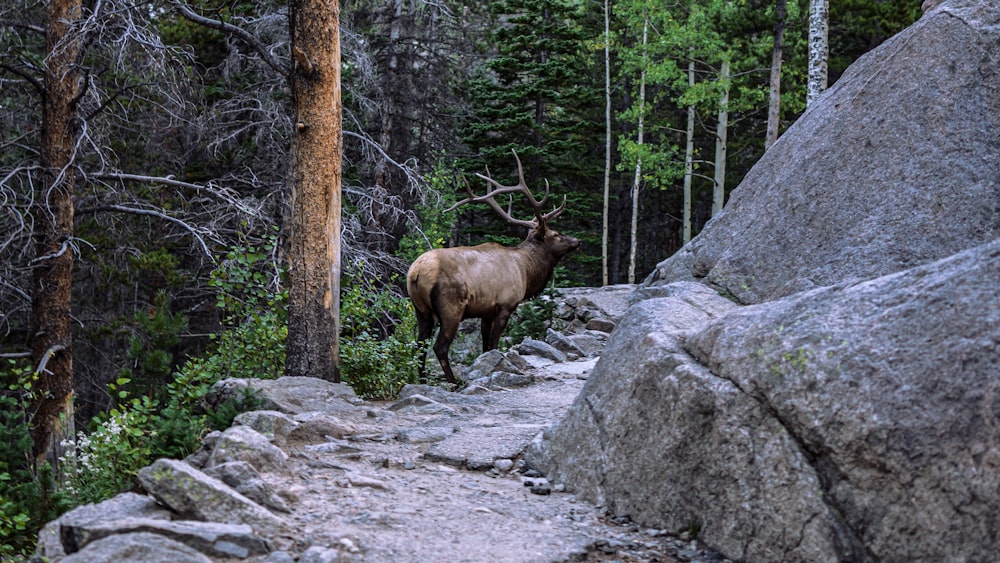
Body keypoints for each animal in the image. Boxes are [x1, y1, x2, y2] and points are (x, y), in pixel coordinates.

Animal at [404, 152, 580, 386]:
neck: (527, 271)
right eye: (557, 234)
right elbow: (495, 344)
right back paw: (454, 382)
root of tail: (415, 272)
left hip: (421, 310)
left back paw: (423, 381)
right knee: (439, 347)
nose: (577, 241)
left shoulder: (485, 311)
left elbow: (485, 347)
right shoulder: (506, 305)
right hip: (451, 307)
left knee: (419, 346)